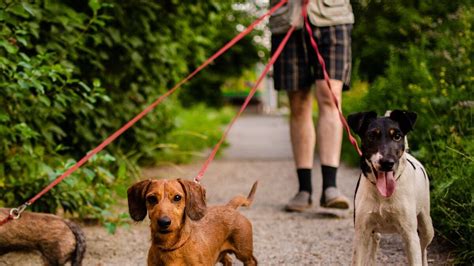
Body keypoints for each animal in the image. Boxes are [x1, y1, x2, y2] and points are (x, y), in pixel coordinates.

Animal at [128, 178, 258, 264]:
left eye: (177, 197)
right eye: (151, 198)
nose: (164, 222)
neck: (171, 247)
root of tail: (229, 207)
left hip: (243, 252)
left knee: (252, 261)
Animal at [348, 109, 434, 264]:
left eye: (397, 136)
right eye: (371, 136)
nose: (387, 163)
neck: (383, 195)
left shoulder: (410, 235)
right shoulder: (361, 232)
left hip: (426, 225)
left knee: (423, 249)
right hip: (373, 231)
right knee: (376, 240)